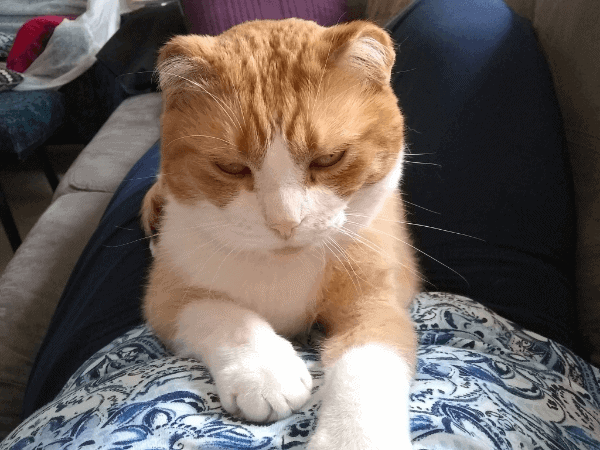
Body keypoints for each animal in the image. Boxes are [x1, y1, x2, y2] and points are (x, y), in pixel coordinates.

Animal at [143, 18, 420, 450]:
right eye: (231, 167)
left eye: (329, 158)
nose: (286, 222)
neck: (284, 267)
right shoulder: (165, 298)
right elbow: (222, 313)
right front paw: (264, 373)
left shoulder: (376, 301)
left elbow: (368, 362)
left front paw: (354, 437)